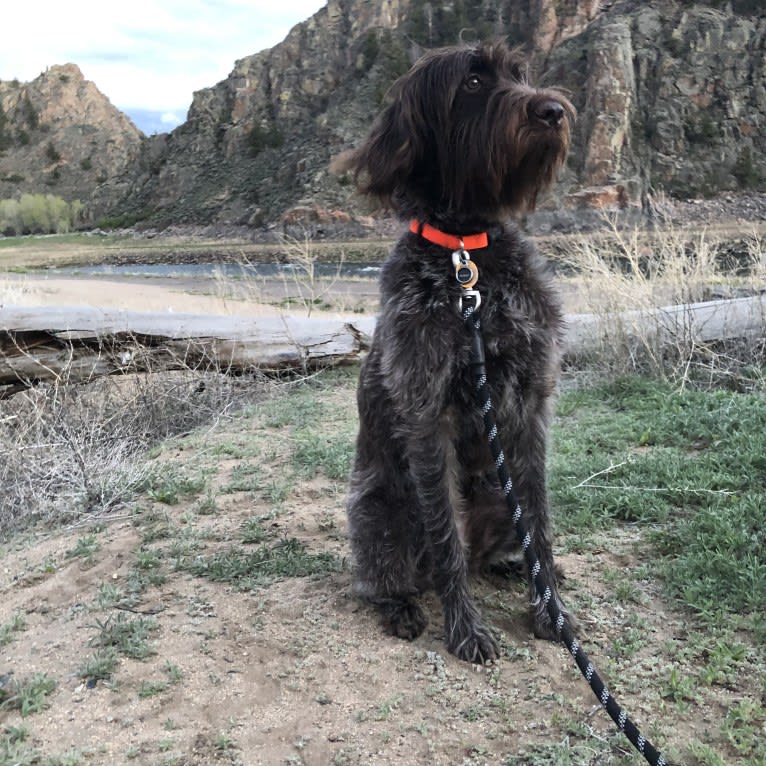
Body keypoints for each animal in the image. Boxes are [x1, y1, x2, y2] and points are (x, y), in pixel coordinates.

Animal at [342, 39, 576, 664]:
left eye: (520, 74)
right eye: (472, 82)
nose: (553, 111)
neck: (468, 256)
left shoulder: (532, 402)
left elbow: (540, 521)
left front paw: (550, 609)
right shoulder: (428, 414)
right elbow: (445, 533)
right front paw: (466, 628)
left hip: (497, 493)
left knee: (500, 544)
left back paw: (513, 569)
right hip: (379, 516)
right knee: (392, 577)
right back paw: (403, 606)